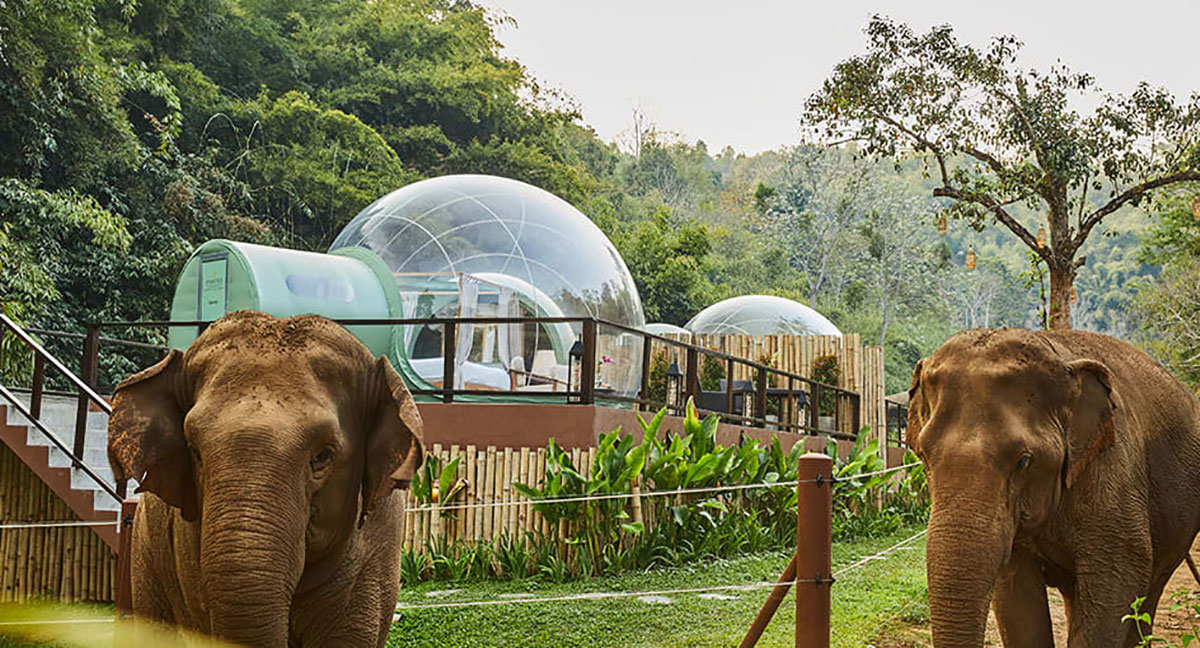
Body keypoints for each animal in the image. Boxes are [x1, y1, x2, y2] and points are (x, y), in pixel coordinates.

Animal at [908, 328, 1200, 647]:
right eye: (923, 455)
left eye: (1023, 461)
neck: (1060, 356)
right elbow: (1017, 597)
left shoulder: (1113, 469)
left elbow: (1118, 575)